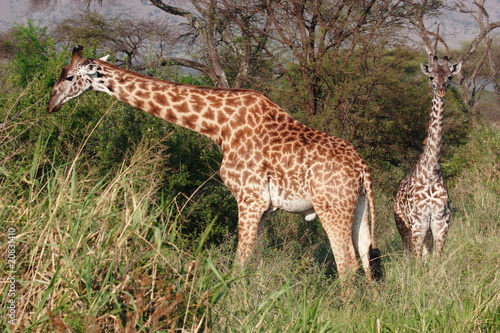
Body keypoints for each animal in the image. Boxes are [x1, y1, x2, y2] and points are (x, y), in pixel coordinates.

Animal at [48, 45, 380, 280]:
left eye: (69, 77)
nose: (51, 103)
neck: (217, 126)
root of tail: (363, 169)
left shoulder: (249, 199)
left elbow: (240, 263)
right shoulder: (263, 207)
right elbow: (257, 263)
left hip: (331, 207)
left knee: (347, 265)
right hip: (359, 208)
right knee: (366, 258)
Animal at [394, 55, 460, 258]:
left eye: (449, 77)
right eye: (431, 77)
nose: (441, 91)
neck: (431, 172)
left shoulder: (441, 223)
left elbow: (436, 258)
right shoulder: (418, 222)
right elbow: (417, 259)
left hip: (428, 231)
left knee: (424, 254)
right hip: (403, 226)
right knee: (409, 254)